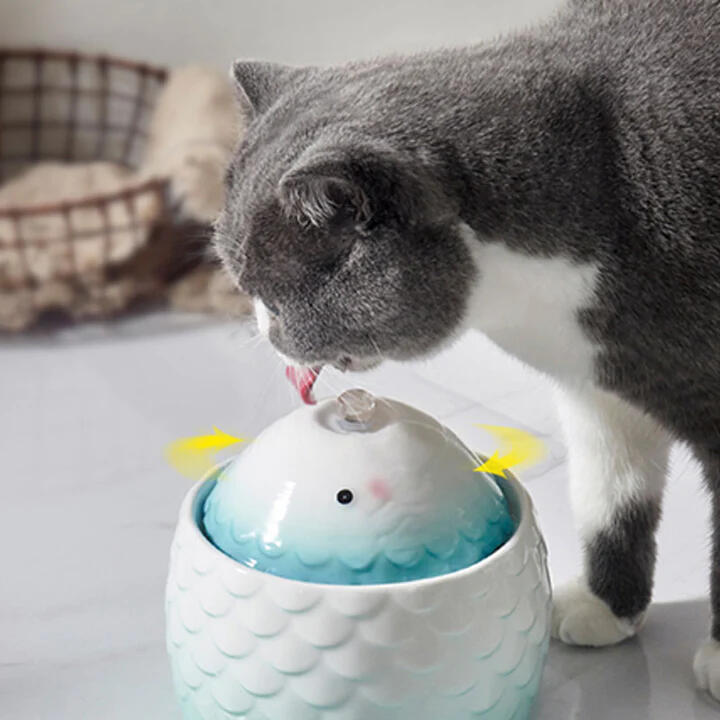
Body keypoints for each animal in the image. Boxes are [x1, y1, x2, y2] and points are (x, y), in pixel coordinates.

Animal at [214, 0, 720, 700]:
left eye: (273, 294)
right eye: (244, 286)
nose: (263, 328)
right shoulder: (597, 393)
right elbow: (609, 498)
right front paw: (604, 607)